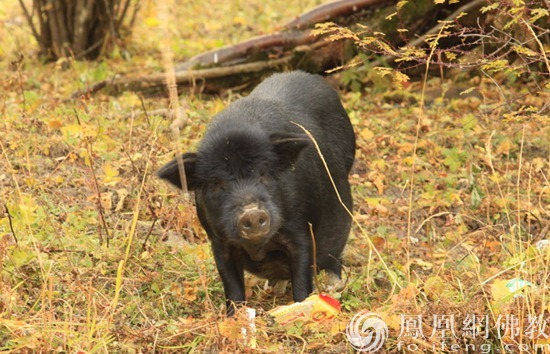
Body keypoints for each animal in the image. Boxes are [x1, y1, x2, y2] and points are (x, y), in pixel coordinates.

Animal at [158, 72, 358, 316]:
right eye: (216, 183)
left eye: (263, 173)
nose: (251, 212)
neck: (259, 248)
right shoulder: (219, 241)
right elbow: (232, 286)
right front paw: (233, 317)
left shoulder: (301, 229)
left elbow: (302, 278)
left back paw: (333, 286)